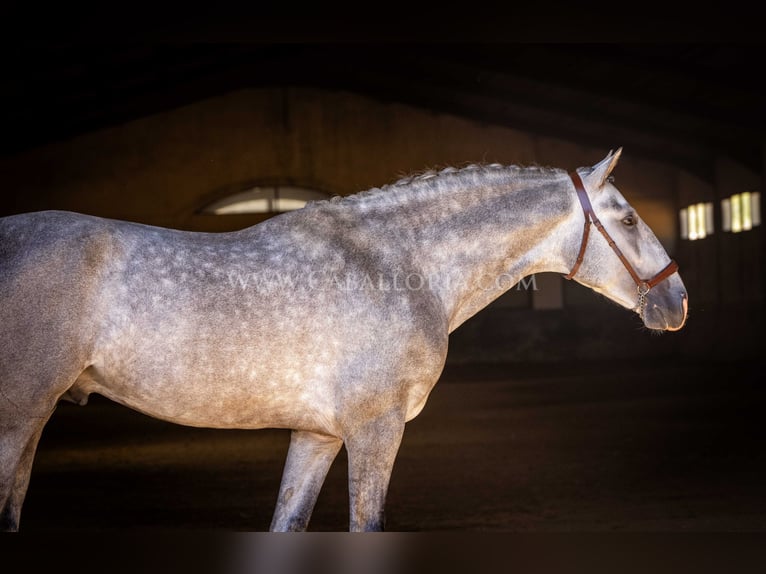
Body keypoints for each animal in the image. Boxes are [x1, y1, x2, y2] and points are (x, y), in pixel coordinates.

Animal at [0, 148, 684, 532]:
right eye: (627, 218)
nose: (676, 302)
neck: (394, 263)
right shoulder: (375, 428)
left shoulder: (318, 435)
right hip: (18, 415)